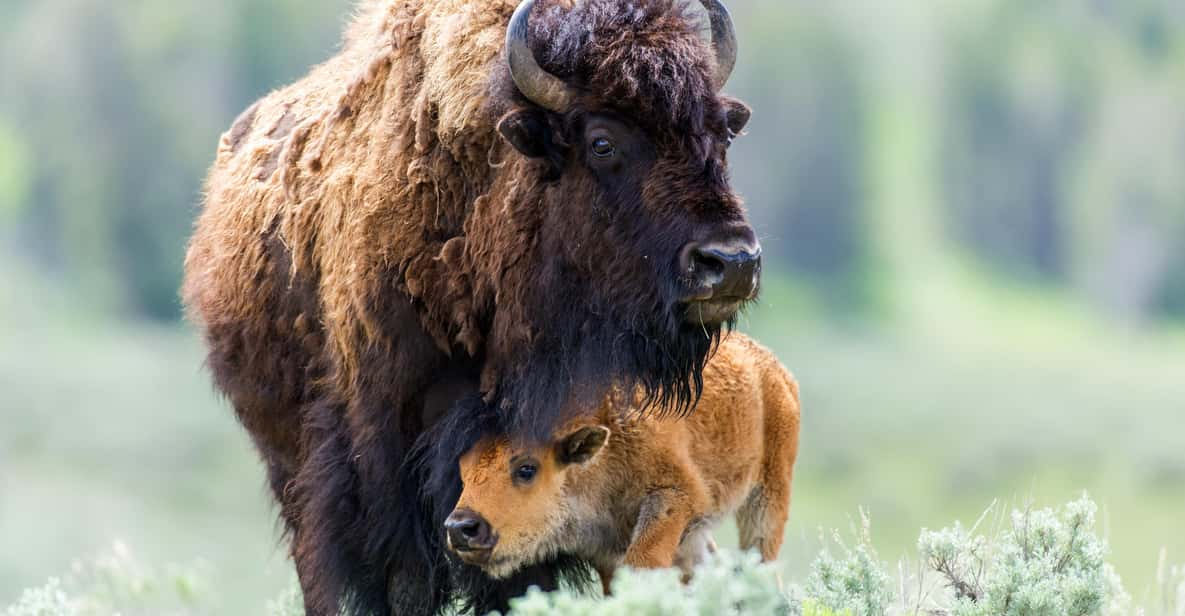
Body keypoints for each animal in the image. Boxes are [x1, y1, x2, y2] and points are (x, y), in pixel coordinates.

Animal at [447, 334, 801, 589]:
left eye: (526, 469)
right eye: (464, 471)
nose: (461, 528)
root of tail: (777, 372)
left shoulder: (676, 495)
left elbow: (643, 564)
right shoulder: (602, 549)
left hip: (768, 496)